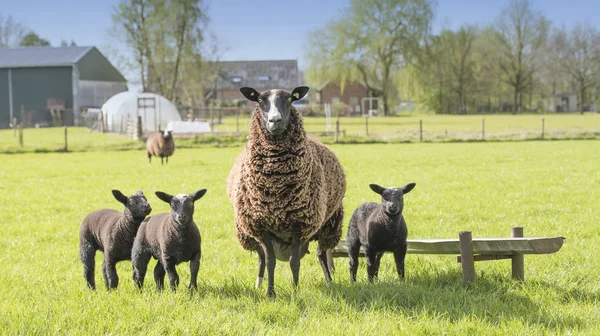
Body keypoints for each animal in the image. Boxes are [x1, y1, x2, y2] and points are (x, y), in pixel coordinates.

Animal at [226, 86, 346, 296]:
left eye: (290, 99)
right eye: (260, 100)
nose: (275, 121)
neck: (277, 188)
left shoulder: (300, 224)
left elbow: (294, 262)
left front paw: (295, 291)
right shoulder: (261, 226)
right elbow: (270, 261)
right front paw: (270, 293)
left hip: (329, 225)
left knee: (322, 254)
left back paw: (329, 281)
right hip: (248, 235)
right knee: (261, 258)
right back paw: (258, 284)